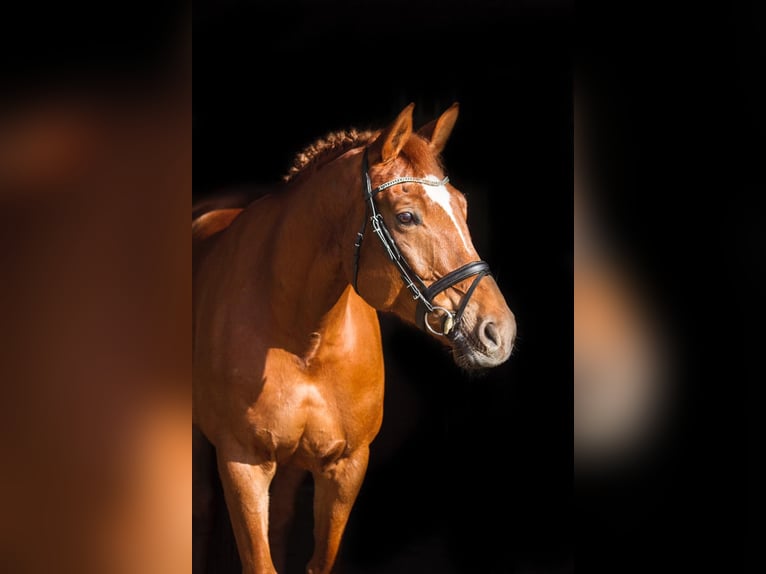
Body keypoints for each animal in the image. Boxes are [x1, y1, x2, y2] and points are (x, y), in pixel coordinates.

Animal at [193, 103, 516, 574]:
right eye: (406, 217)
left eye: (462, 206)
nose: (499, 331)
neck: (304, 342)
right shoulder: (242, 464)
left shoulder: (346, 466)